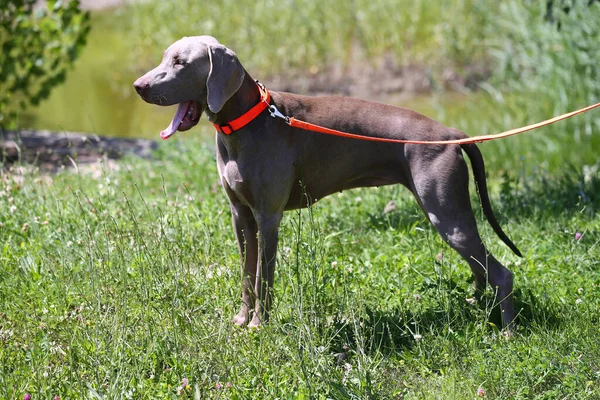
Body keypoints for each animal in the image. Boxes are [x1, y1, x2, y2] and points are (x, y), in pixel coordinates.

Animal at [135, 35, 520, 328]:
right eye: (165, 57)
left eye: (180, 62)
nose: (139, 86)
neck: (246, 122)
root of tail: (451, 134)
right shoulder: (240, 216)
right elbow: (247, 275)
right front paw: (242, 320)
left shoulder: (268, 217)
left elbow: (264, 277)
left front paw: (259, 325)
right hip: (445, 213)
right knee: (481, 269)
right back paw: (477, 309)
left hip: (446, 214)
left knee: (501, 273)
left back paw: (507, 332)